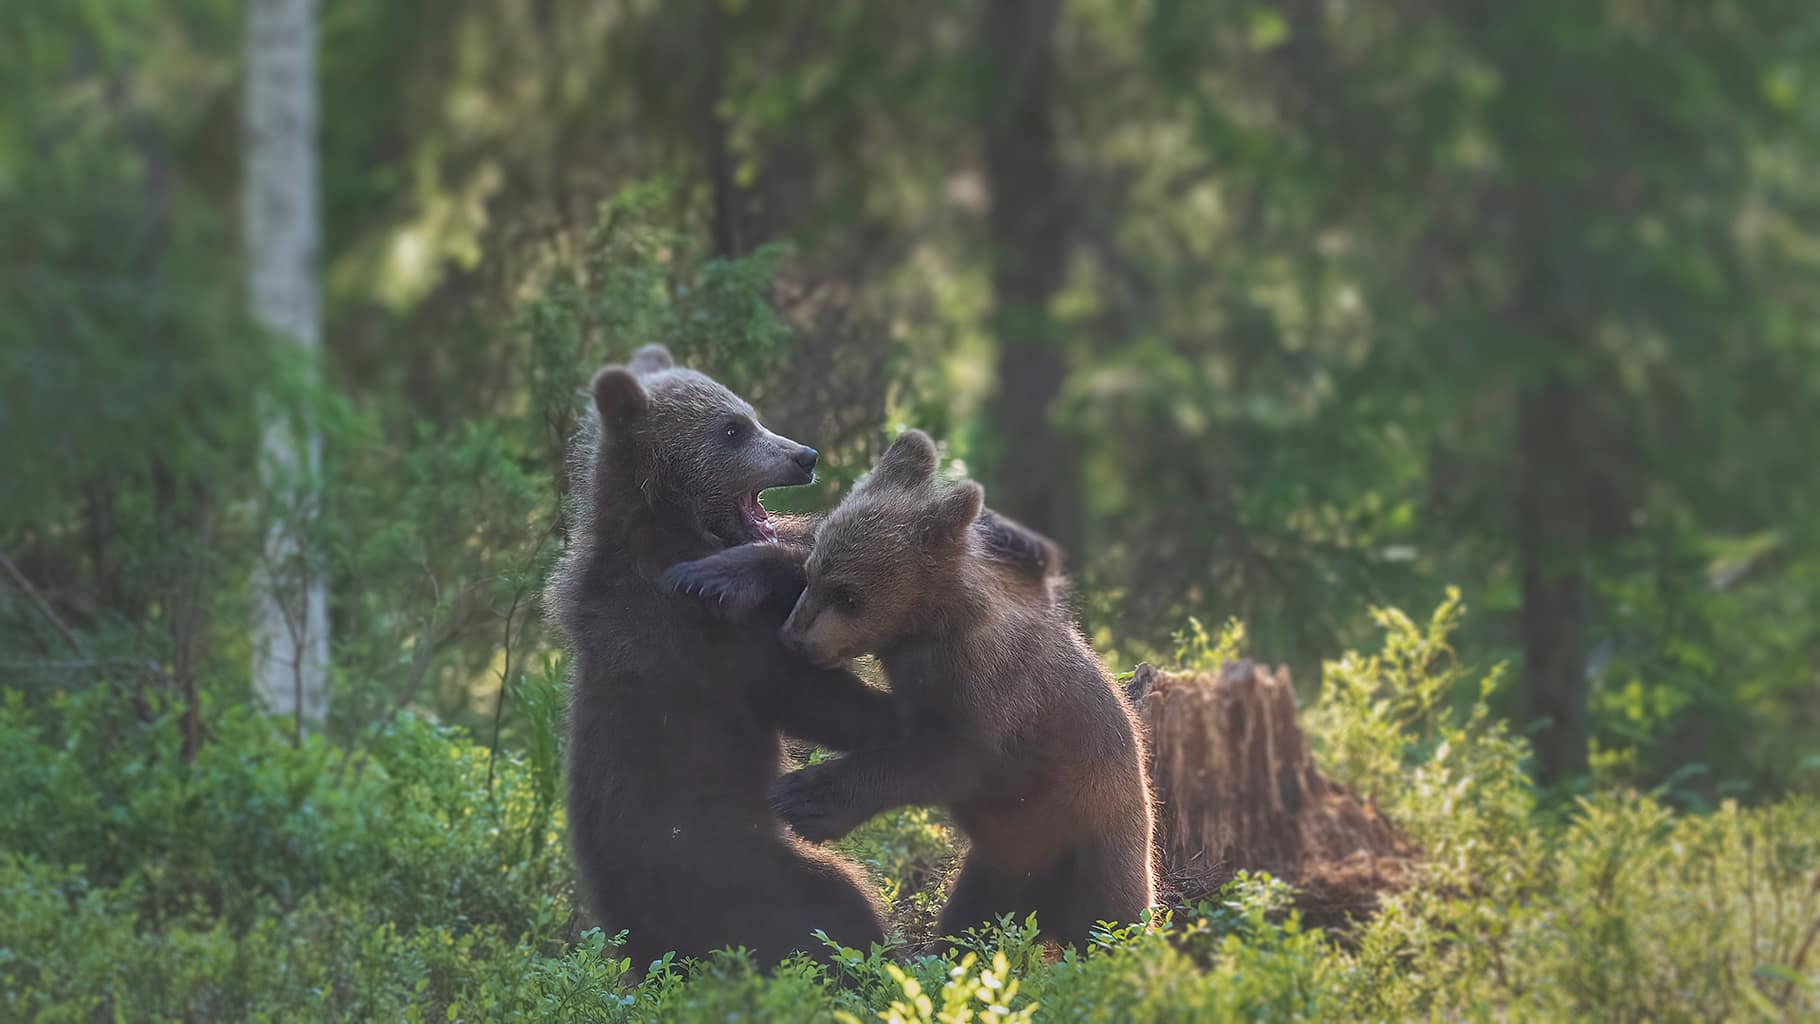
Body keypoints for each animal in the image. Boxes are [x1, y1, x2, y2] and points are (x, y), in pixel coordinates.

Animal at [542, 343, 901, 972]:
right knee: (836, 903)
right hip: (734, 866)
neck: (674, 536)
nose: (805, 456)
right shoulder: (697, 640)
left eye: (750, 413)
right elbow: (805, 693)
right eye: (732, 430)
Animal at [663, 430, 1156, 948]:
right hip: (995, 869)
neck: (926, 629)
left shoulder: (992, 691)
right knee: (968, 925)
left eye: (850, 595)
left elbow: (945, 756)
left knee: (1106, 919)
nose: (793, 637)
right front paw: (711, 574)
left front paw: (804, 796)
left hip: (1088, 847)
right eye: (819, 575)